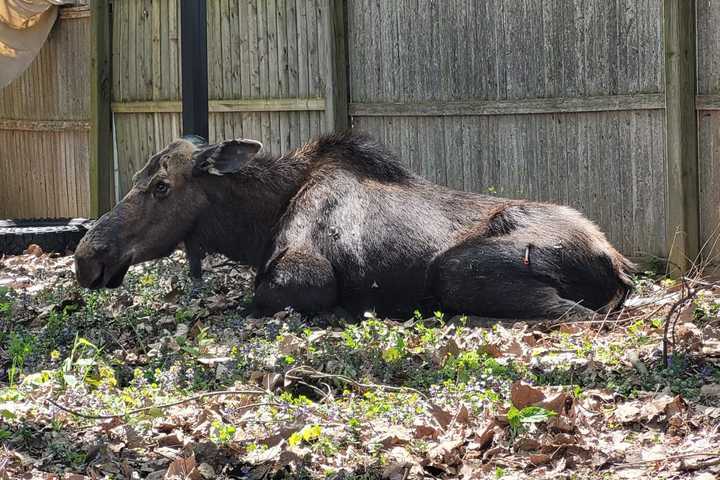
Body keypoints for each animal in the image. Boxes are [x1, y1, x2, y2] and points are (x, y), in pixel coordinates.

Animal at [76, 132, 632, 318]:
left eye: (161, 186)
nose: (87, 257)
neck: (253, 229)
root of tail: (616, 261)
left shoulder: (308, 271)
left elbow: (259, 295)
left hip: (456, 272)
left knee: (578, 316)